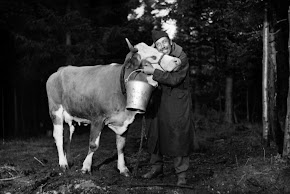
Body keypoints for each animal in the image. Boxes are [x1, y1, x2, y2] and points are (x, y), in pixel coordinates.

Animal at [46, 38, 180, 177]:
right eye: (153, 56)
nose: (177, 61)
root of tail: (61, 70)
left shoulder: (125, 121)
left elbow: (121, 145)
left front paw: (123, 168)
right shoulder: (97, 118)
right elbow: (93, 145)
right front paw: (86, 167)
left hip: (71, 115)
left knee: (68, 136)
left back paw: (69, 160)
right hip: (55, 110)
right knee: (58, 136)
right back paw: (63, 164)